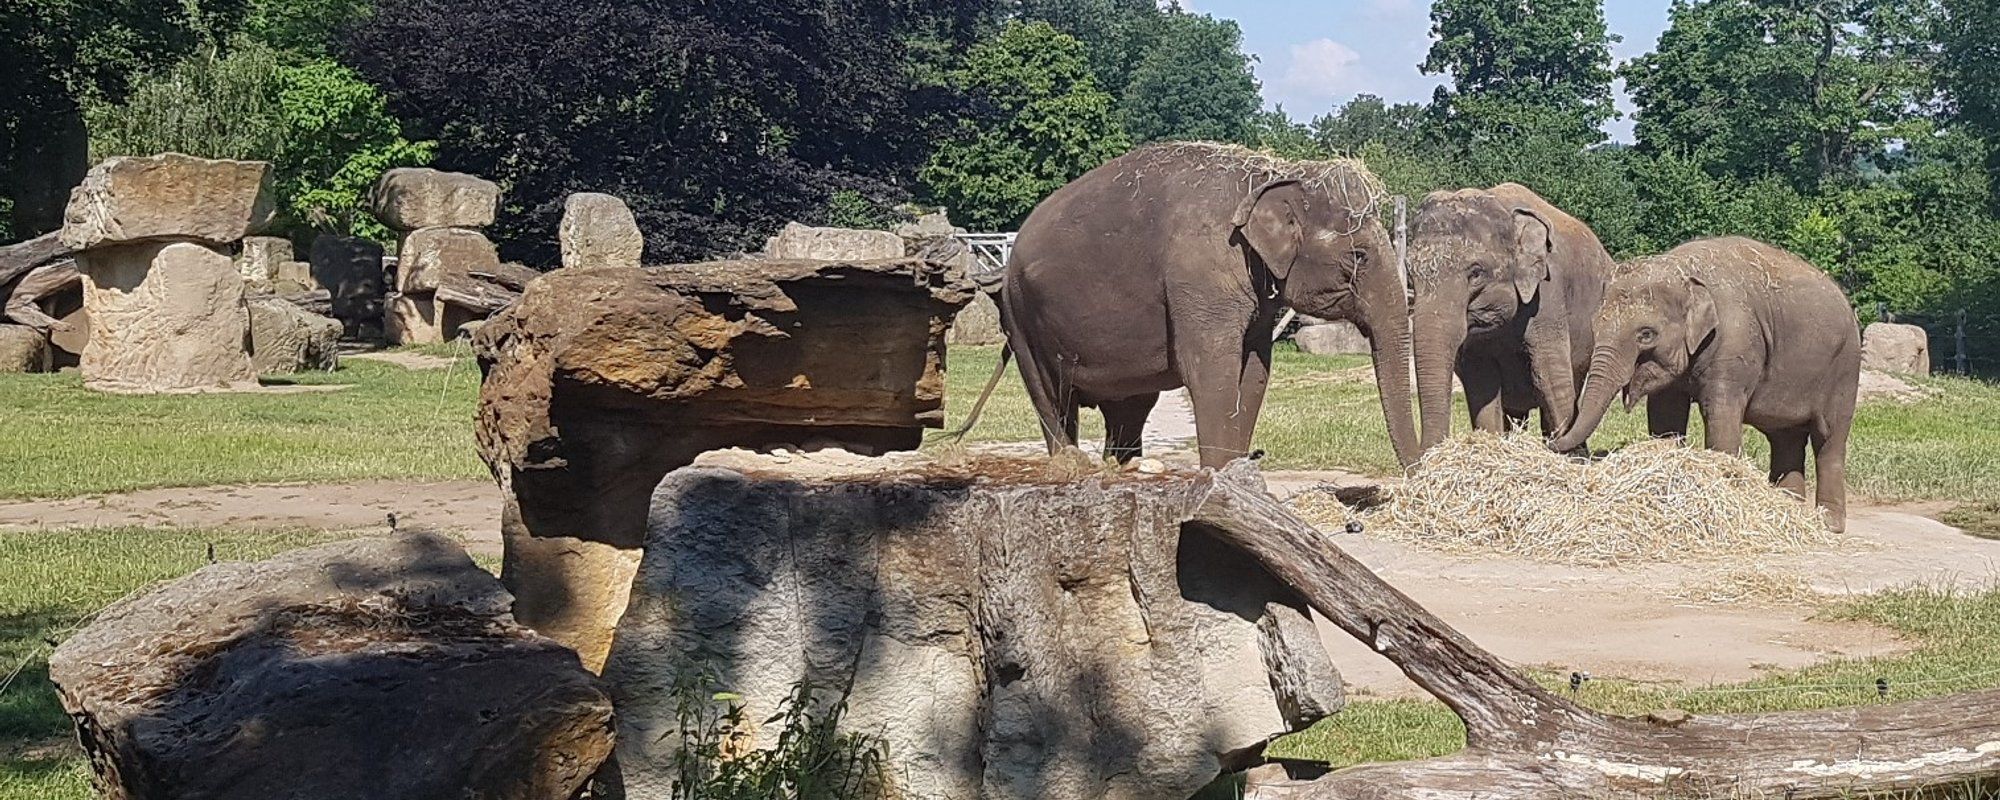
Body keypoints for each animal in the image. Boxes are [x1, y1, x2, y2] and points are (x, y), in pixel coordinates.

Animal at [956, 143, 1416, 468]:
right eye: (1359, 256)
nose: (1415, 472)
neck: (1269, 175)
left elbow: (1256, 372)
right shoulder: (1199, 277)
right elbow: (1210, 370)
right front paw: (1219, 479)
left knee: (1129, 406)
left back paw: (1122, 465)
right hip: (1020, 316)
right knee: (1051, 397)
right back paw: (1072, 464)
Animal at [1400, 184, 1616, 454]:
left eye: (1476, 273)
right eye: (1409, 274)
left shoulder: (1548, 296)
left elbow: (1550, 375)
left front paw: (1571, 456)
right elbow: (1481, 380)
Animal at [1544, 236, 1856, 532]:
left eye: (1646, 334)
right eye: (1596, 325)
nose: (1552, 440)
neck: (1683, 270)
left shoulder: (1734, 343)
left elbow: (1720, 416)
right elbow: (1665, 414)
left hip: (1843, 372)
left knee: (1828, 440)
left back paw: (1828, 524)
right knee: (1786, 438)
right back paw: (1788, 511)